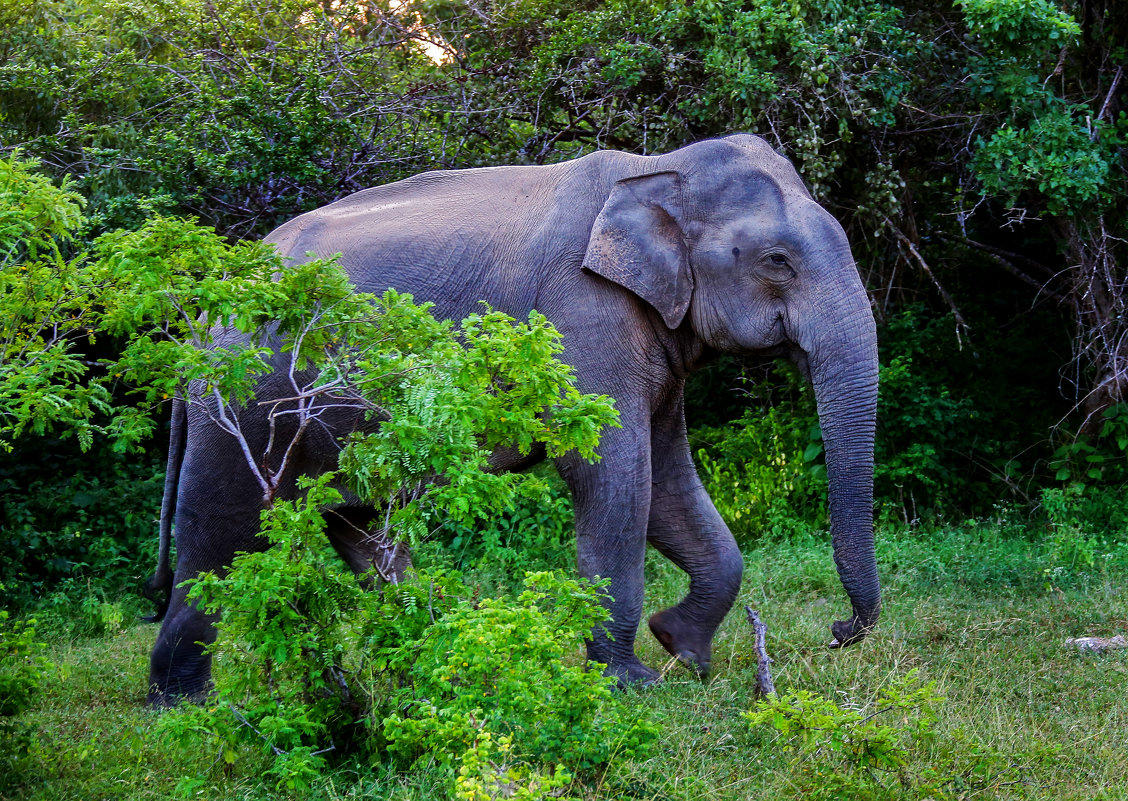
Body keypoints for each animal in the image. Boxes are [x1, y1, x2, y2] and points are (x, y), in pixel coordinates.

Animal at [145, 134, 879, 703]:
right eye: (777, 261)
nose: (839, 632)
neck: (658, 167)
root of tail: (197, 324)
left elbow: (668, 477)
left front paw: (684, 651)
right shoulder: (581, 315)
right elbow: (614, 471)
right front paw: (632, 685)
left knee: (365, 532)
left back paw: (435, 659)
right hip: (240, 409)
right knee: (217, 537)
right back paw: (183, 708)